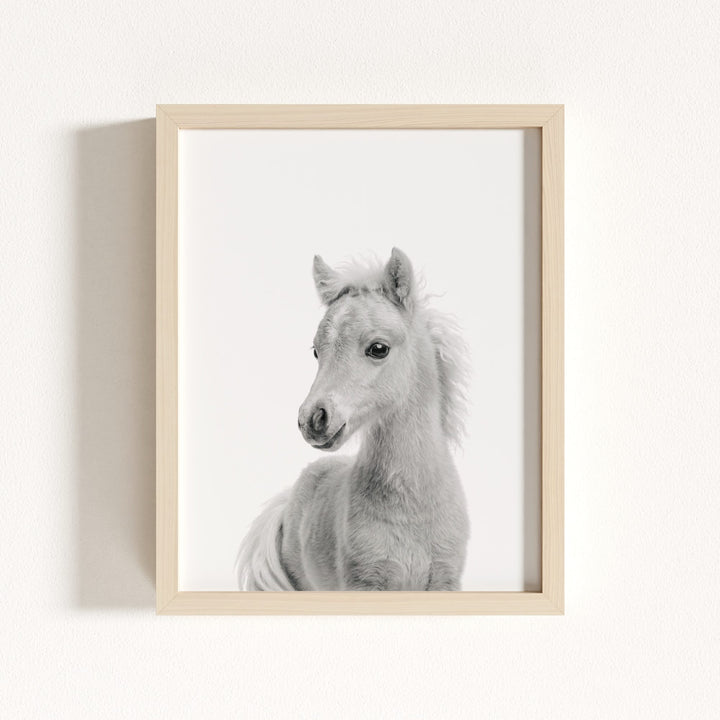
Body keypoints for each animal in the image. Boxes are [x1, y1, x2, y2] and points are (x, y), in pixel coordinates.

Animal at [236, 248, 470, 591]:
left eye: (378, 348)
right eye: (316, 351)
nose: (312, 419)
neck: (412, 509)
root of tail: (288, 499)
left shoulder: (445, 582)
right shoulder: (363, 583)